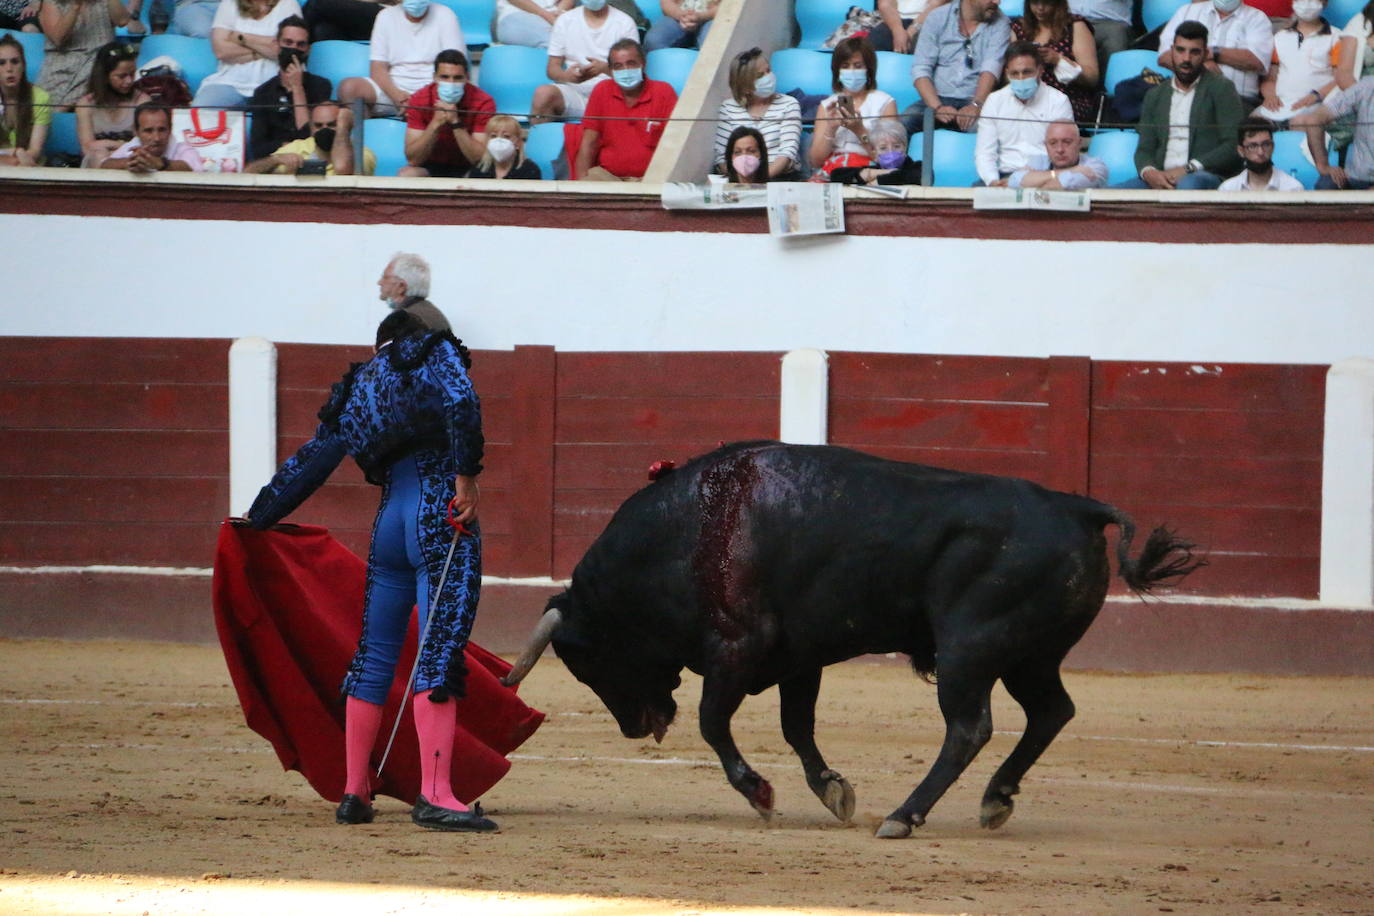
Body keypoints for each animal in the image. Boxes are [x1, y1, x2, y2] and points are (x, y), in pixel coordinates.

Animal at [508, 442, 1203, 840]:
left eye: (586, 661)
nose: (636, 728)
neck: (687, 531)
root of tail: (1078, 507)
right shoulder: (798, 657)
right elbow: (797, 727)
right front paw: (833, 792)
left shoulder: (737, 647)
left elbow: (713, 723)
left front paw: (761, 794)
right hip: (1030, 655)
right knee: (1052, 711)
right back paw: (994, 799)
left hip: (971, 649)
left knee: (970, 727)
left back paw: (904, 816)